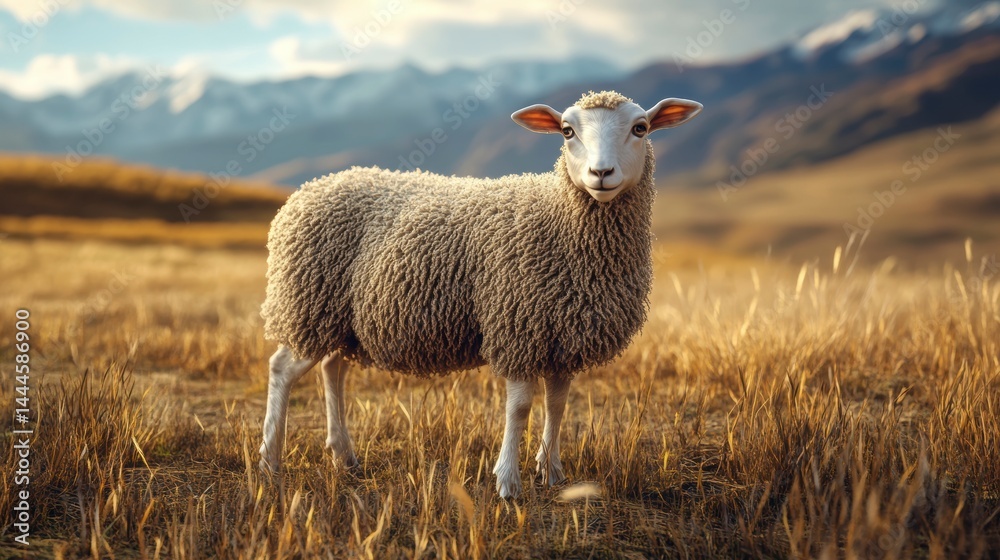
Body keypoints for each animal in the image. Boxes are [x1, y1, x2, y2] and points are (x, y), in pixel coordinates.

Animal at [258, 90, 703, 498]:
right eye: (567, 131)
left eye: (640, 128)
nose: (601, 172)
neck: (558, 218)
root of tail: (309, 189)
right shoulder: (518, 327)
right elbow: (519, 408)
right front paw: (508, 482)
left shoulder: (561, 335)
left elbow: (557, 405)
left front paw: (552, 472)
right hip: (307, 301)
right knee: (282, 368)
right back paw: (269, 461)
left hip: (339, 319)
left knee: (332, 368)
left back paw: (344, 456)